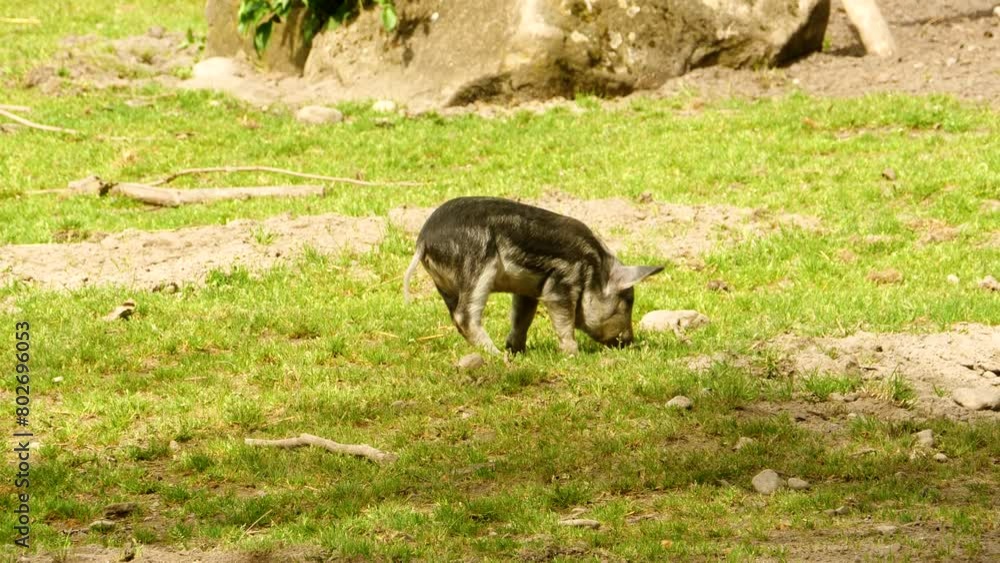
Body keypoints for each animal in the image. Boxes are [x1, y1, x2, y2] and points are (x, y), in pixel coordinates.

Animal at [403, 197, 663, 355]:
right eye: (627, 301)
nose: (629, 341)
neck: (595, 268)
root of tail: (423, 241)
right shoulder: (560, 283)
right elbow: (563, 319)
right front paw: (573, 353)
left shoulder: (528, 289)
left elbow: (522, 317)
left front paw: (516, 350)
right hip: (476, 267)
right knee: (464, 316)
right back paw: (496, 356)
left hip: (445, 286)